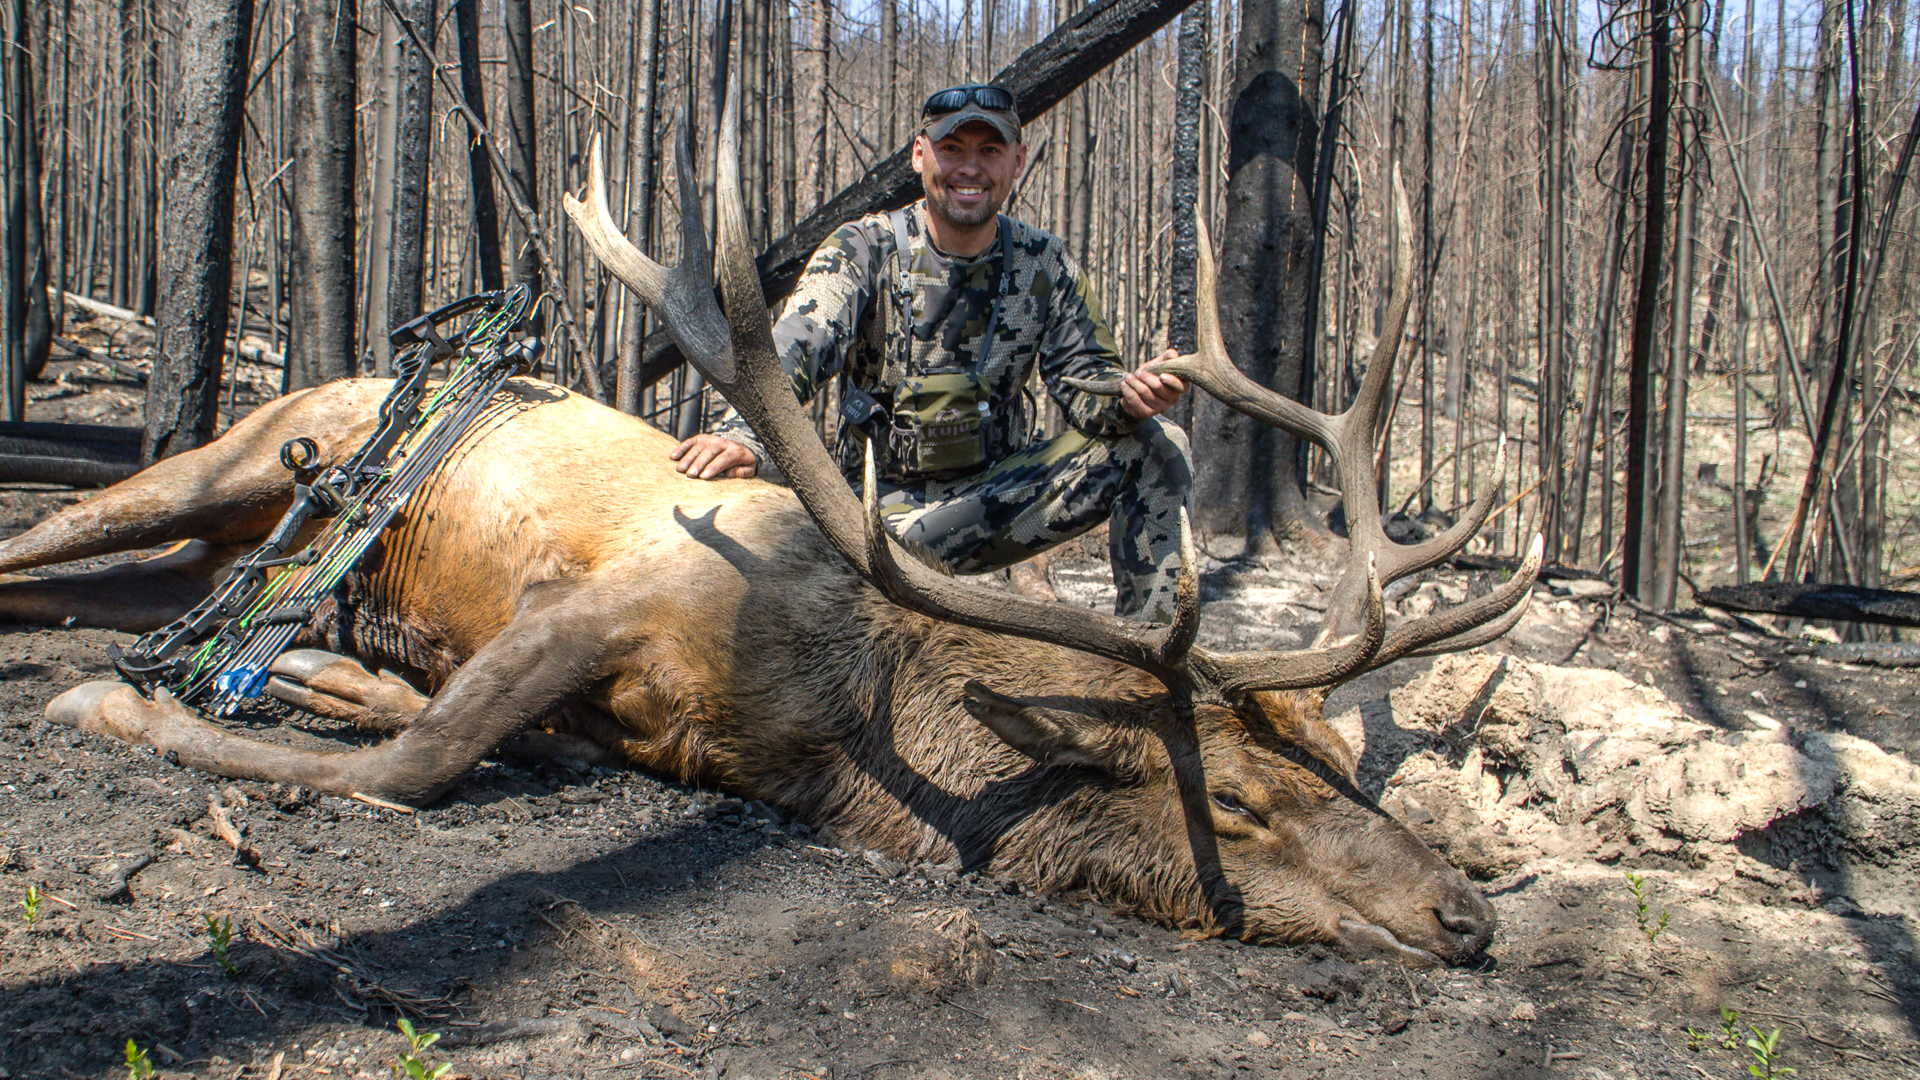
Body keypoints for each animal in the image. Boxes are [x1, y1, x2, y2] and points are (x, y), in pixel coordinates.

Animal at [0, 98, 1536, 957]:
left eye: (1338, 763)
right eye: (1232, 800)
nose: (1465, 916)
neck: (832, 724)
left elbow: (478, 734)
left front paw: (340, 678)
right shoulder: (603, 603)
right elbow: (418, 768)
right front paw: (103, 712)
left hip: (211, 555)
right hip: (240, 454)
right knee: (54, 532)